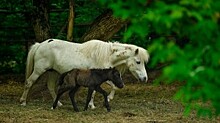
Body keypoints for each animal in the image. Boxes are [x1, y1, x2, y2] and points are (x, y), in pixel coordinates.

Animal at [19, 39, 150, 107]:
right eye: (138, 62)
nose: (145, 78)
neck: (106, 55)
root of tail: (40, 44)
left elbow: (112, 87)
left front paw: (105, 100)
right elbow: (98, 90)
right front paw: (95, 104)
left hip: (53, 72)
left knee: (51, 86)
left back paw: (59, 103)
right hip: (39, 70)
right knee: (29, 82)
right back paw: (23, 102)